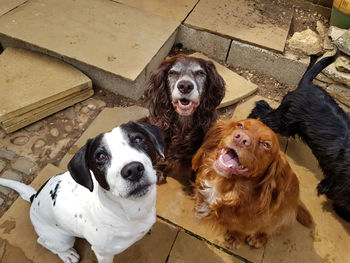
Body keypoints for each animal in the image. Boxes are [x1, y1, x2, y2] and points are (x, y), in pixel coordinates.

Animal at [0, 121, 164, 263]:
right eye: (100, 156)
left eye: (138, 139)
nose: (133, 170)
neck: (131, 211)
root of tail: (34, 197)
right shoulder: (103, 254)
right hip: (62, 239)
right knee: (43, 241)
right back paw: (67, 255)